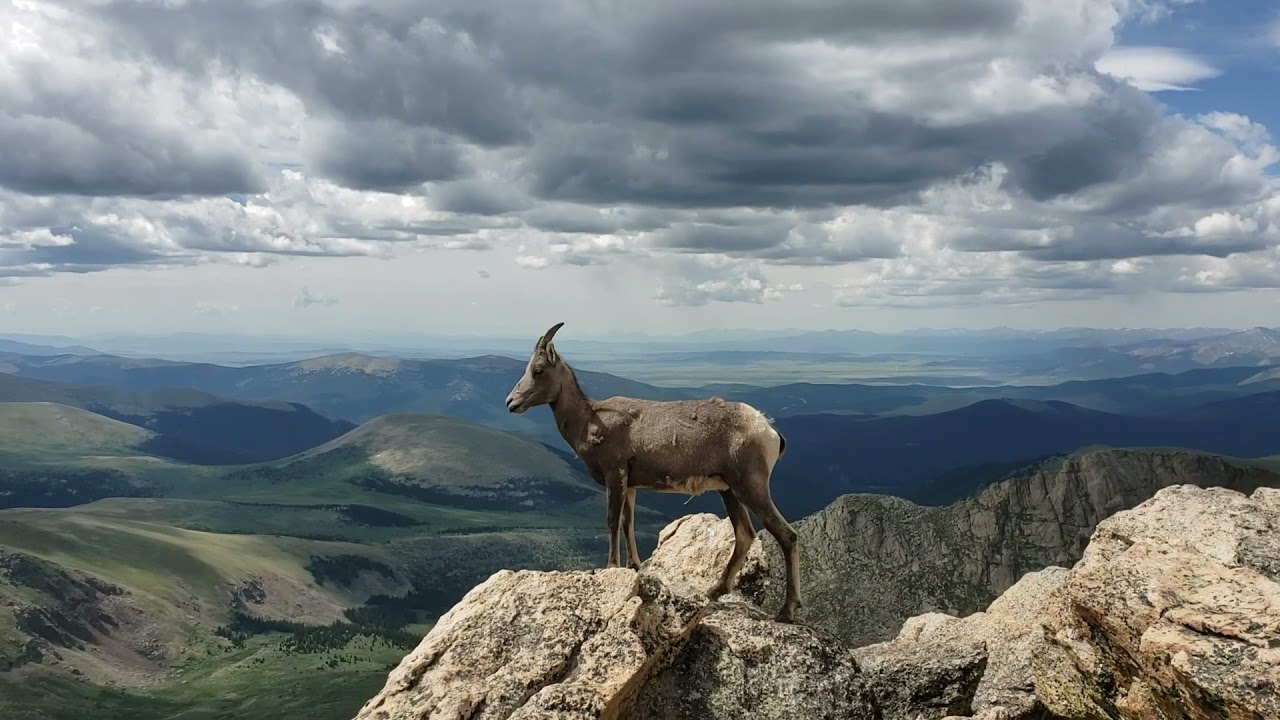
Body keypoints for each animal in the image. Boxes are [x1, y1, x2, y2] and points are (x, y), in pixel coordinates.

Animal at [504, 321, 802, 623]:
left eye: (538, 369)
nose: (511, 403)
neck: (589, 420)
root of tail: (769, 431)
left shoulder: (615, 475)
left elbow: (612, 521)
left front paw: (611, 567)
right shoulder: (631, 485)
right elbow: (628, 522)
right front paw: (634, 567)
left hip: (751, 487)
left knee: (786, 535)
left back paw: (787, 611)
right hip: (729, 490)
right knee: (744, 535)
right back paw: (715, 590)